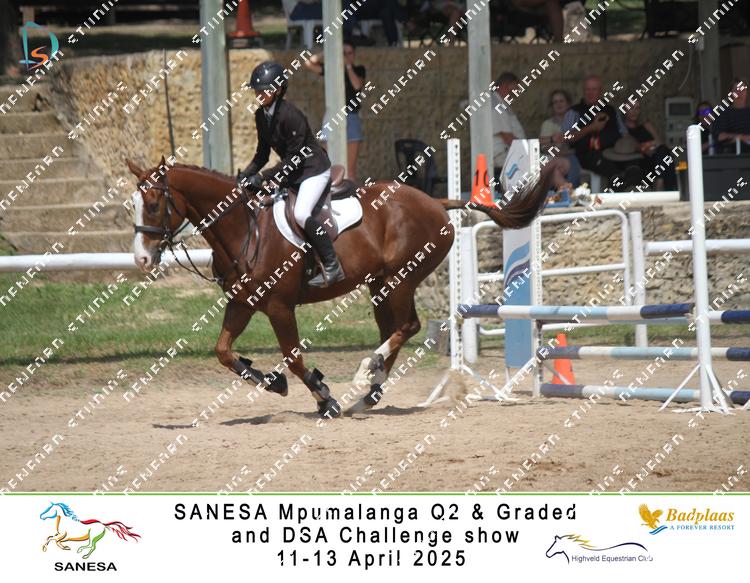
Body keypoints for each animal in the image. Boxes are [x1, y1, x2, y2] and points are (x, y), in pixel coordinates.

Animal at [125, 157, 552, 418]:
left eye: (154, 205)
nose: (142, 259)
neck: (244, 231)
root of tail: (434, 201)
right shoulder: (242, 304)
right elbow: (224, 352)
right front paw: (272, 382)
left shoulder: (279, 308)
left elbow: (294, 358)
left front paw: (323, 397)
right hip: (380, 285)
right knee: (394, 329)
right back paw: (369, 393)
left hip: (400, 279)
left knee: (408, 326)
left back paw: (365, 373)